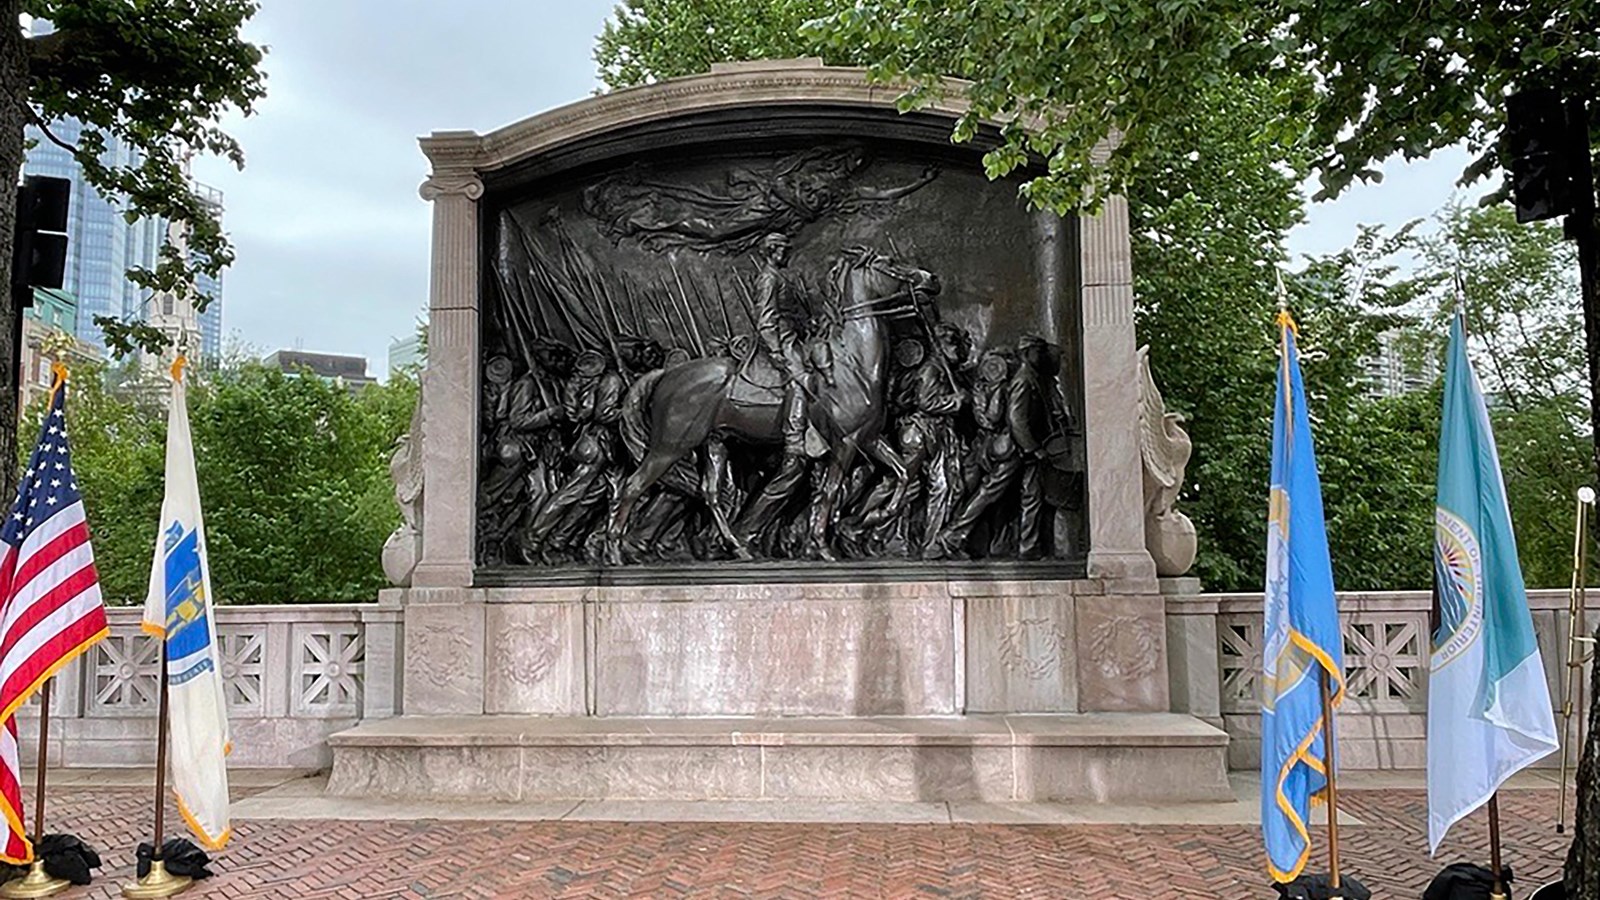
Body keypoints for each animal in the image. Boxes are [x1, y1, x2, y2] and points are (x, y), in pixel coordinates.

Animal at [608, 245, 934, 560]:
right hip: (670, 446)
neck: (852, 362)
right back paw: (616, 552)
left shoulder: (869, 438)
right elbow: (830, 491)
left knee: (710, 492)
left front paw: (872, 517)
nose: (931, 279)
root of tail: (667, 373)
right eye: (890, 263)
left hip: (714, 443)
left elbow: (902, 472)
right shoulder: (846, 442)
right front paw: (822, 545)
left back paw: (737, 546)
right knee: (633, 486)